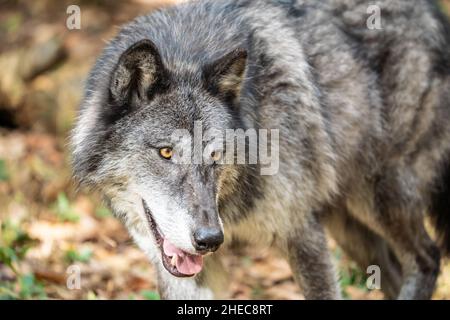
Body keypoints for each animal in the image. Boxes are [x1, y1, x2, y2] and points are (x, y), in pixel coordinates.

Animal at [70, 0, 450, 300]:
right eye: (166, 153)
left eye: (215, 155)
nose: (210, 239)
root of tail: (431, 12)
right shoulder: (187, 274)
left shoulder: (302, 234)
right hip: (350, 227)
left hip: (379, 196)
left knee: (428, 259)